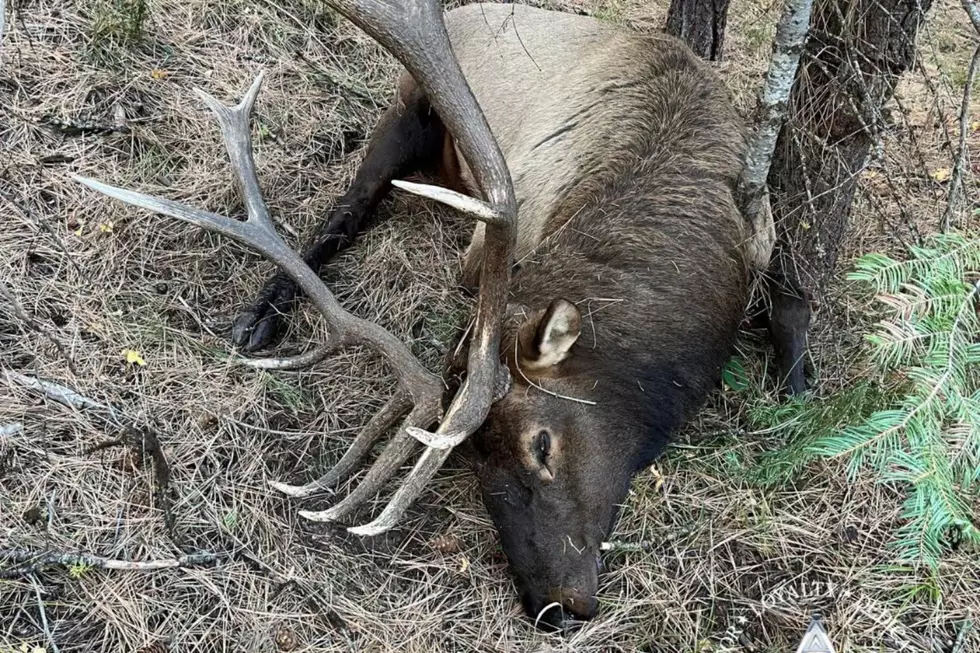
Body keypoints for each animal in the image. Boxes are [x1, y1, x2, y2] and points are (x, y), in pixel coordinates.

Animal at [76, 0, 768, 631]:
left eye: (540, 443)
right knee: (347, 208)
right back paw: (260, 314)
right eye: (475, 460)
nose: (557, 606)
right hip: (407, 108)